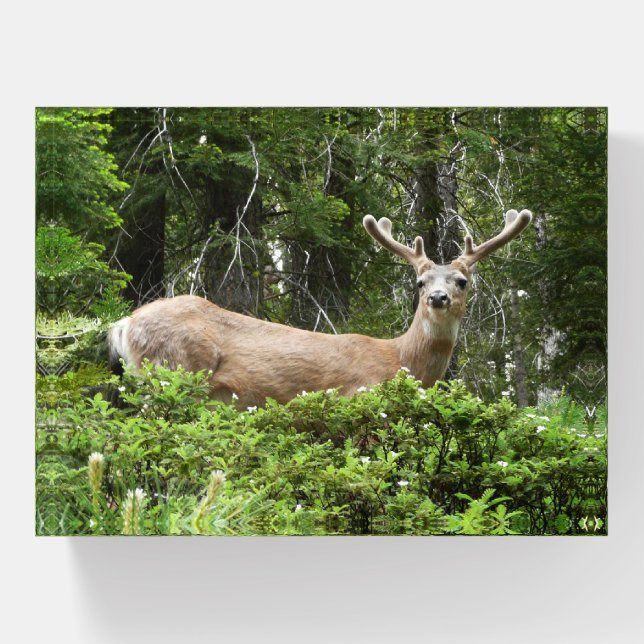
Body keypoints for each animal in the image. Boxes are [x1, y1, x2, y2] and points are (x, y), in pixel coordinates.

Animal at [108, 209, 532, 408]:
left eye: (462, 281)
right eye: (420, 282)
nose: (437, 298)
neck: (400, 360)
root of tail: (124, 323)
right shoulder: (358, 397)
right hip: (173, 368)